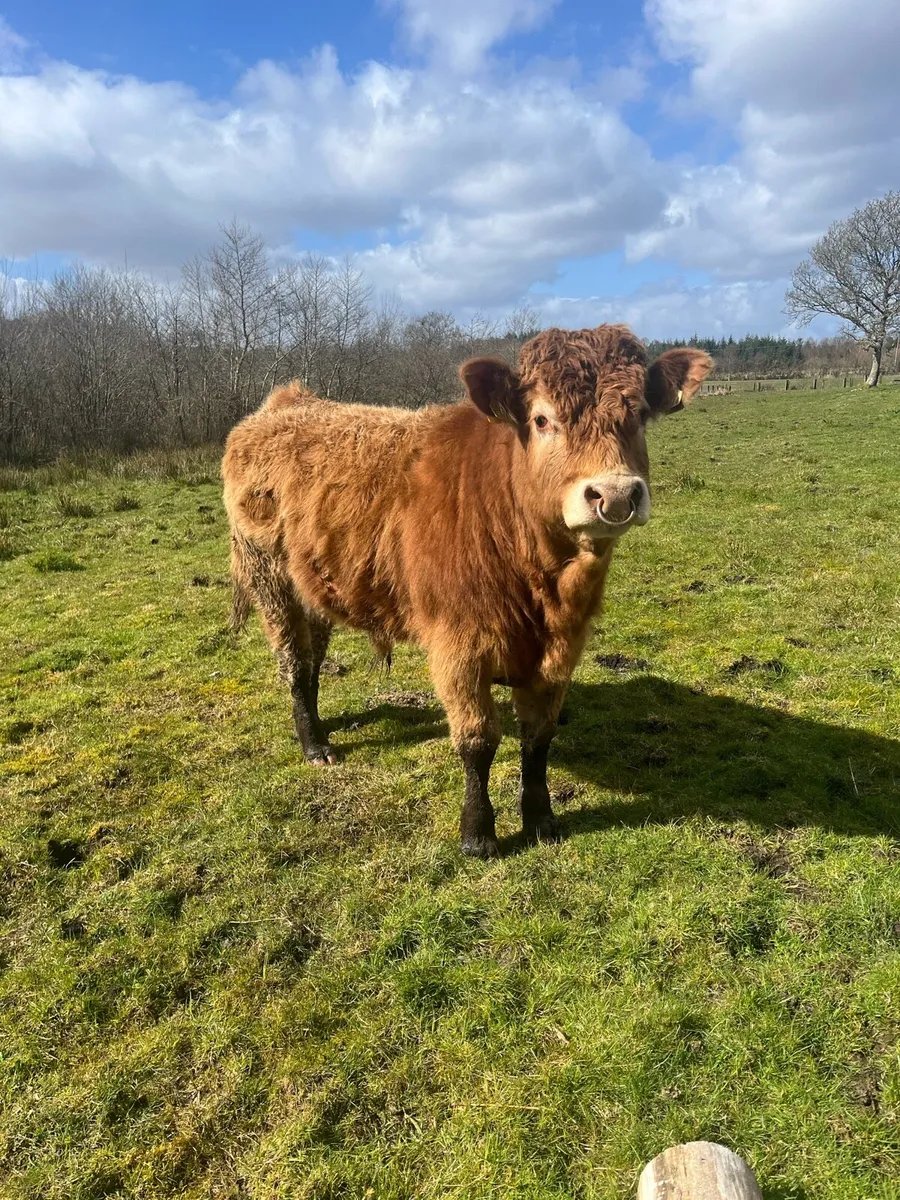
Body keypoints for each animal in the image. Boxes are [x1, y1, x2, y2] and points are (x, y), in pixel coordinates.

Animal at [222, 325, 712, 857]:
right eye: (542, 419)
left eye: (639, 413)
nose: (616, 495)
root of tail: (282, 405)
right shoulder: (458, 645)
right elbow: (477, 741)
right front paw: (478, 834)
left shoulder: (562, 649)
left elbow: (538, 737)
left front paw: (541, 819)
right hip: (270, 578)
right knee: (293, 660)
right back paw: (314, 744)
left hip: (314, 584)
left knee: (312, 656)